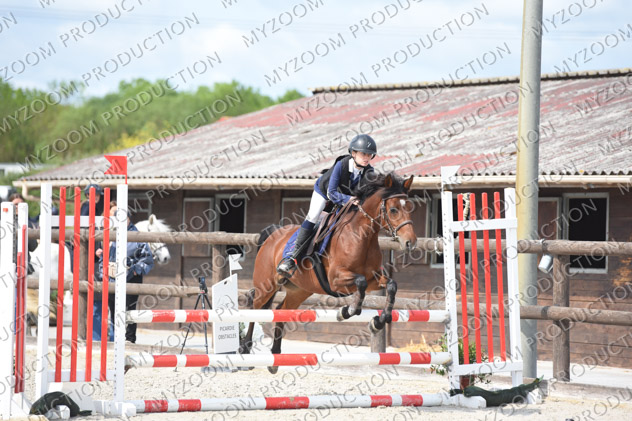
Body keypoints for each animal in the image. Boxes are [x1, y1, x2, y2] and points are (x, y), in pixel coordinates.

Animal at [241, 172, 417, 373]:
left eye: (409, 208)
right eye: (394, 210)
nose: (410, 242)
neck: (360, 236)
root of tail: (272, 234)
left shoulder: (374, 277)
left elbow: (391, 285)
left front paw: (379, 321)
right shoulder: (336, 280)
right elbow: (360, 283)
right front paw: (346, 311)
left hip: (300, 290)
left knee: (281, 310)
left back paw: (275, 358)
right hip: (267, 285)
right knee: (254, 308)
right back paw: (245, 350)